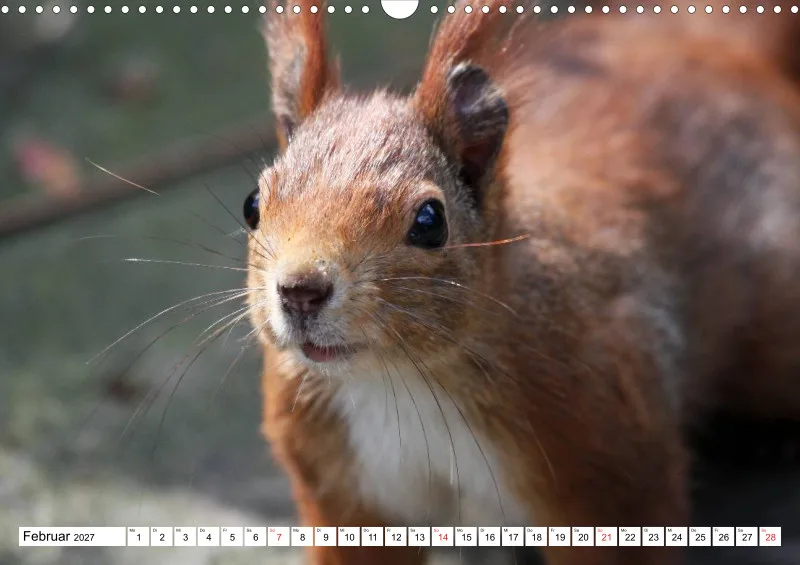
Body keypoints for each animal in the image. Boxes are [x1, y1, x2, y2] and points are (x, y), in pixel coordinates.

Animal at [244, 2, 800, 564]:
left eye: (430, 222)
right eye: (253, 204)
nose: (300, 291)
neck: (397, 379)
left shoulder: (609, 459)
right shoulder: (339, 489)